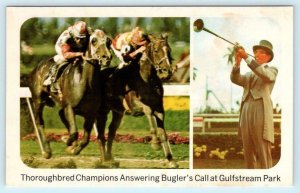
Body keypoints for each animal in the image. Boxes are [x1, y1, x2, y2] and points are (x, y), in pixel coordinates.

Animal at [28, 29, 112, 158]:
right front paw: (67, 142)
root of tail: (37, 67)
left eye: (109, 41)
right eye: (93, 40)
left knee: (61, 114)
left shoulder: (91, 113)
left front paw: (73, 149)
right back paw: (46, 151)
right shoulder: (70, 107)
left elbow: (85, 138)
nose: (106, 57)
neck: (85, 82)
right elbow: (74, 132)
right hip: (38, 100)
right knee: (39, 122)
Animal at [95, 33, 178, 167]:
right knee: (101, 134)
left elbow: (163, 133)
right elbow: (148, 110)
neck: (147, 79)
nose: (167, 72)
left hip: (118, 112)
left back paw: (110, 159)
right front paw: (155, 143)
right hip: (102, 111)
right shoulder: (134, 106)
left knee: (111, 131)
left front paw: (171, 160)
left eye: (169, 50)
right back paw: (104, 161)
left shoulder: (159, 108)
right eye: (156, 50)